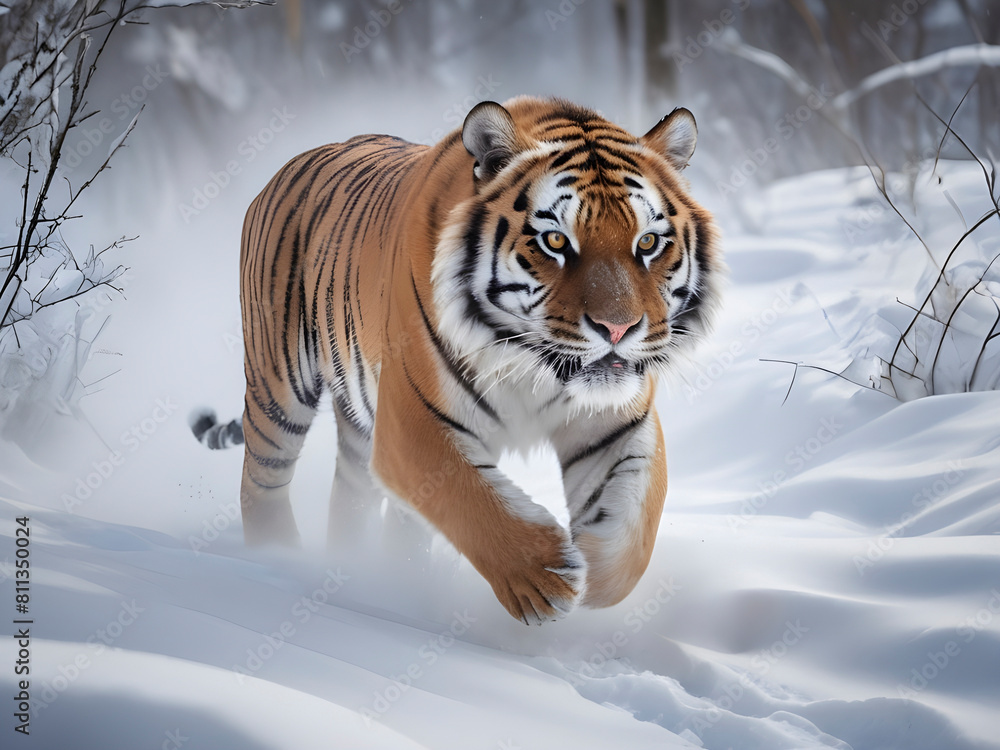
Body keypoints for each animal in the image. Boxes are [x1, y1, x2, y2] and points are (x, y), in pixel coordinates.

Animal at [191, 96, 723, 625]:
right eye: (555, 242)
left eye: (648, 243)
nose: (617, 329)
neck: (531, 364)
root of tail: (290, 164)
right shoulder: (413, 422)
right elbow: (475, 501)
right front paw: (544, 579)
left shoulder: (618, 423)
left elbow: (634, 528)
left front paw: (594, 577)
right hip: (279, 386)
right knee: (261, 482)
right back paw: (275, 566)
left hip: (358, 427)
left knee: (354, 498)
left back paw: (363, 578)